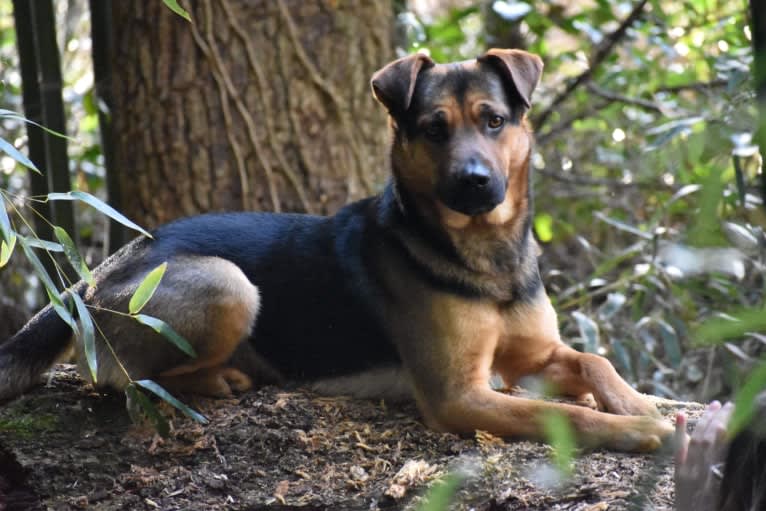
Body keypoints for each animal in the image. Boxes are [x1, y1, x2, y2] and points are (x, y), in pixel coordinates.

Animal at [0, 50, 672, 452]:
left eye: (495, 121)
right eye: (433, 128)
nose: (475, 183)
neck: (486, 255)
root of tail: (92, 276)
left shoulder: (531, 354)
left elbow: (595, 361)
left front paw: (639, 402)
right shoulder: (460, 395)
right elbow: (569, 416)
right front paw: (637, 427)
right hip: (226, 284)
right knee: (122, 379)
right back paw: (220, 377)